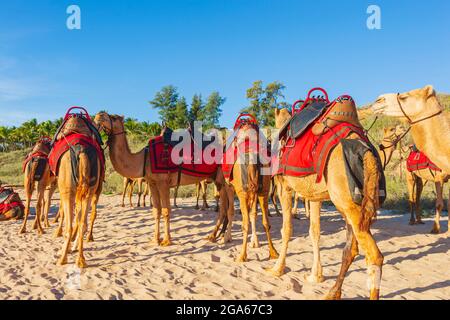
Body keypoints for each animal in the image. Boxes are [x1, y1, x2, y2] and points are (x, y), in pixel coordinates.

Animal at [93, 111, 225, 246]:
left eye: (113, 118)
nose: (99, 115)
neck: (143, 159)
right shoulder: (152, 183)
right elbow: (156, 211)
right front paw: (155, 239)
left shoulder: (163, 183)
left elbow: (166, 211)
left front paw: (166, 241)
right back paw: (215, 236)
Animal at [268, 107, 384, 300]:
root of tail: (367, 153)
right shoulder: (314, 196)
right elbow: (314, 232)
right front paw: (316, 276)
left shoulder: (284, 186)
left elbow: (287, 229)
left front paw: (277, 269)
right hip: (353, 204)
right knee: (351, 249)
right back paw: (332, 293)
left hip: (346, 202)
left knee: (374, 255)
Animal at [372, 85, 450, 235]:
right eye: (391, 129)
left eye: (404, 97)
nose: (378, 99)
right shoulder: (439, 177)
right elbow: (439, 203)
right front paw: (435, 229)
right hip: (410, 176)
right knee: (412, 198)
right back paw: (412, 220)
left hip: (421, 178)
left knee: (417, 197)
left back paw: (419, 220)